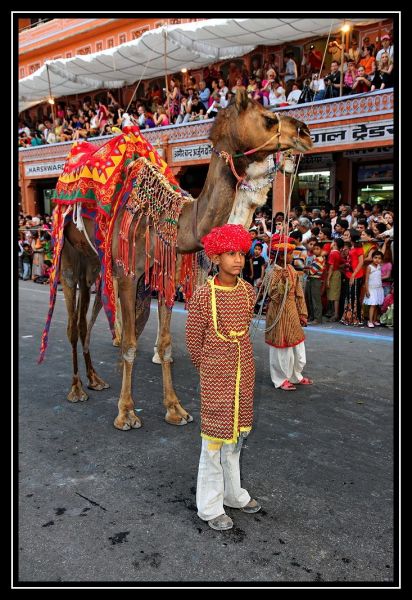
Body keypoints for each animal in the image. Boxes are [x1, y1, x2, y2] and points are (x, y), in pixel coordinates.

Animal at [41, 89, 312, 428]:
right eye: (267, 119)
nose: (305, 131)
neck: (167, 217)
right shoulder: (128, 274)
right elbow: (130, 343)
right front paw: (126, 412)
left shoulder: (164, 276)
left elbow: (166, 342)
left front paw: (175, 408)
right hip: (68, 254)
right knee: (71, 324)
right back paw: (76, 388)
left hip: (94, 263)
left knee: (85, 318)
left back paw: (94, 379)